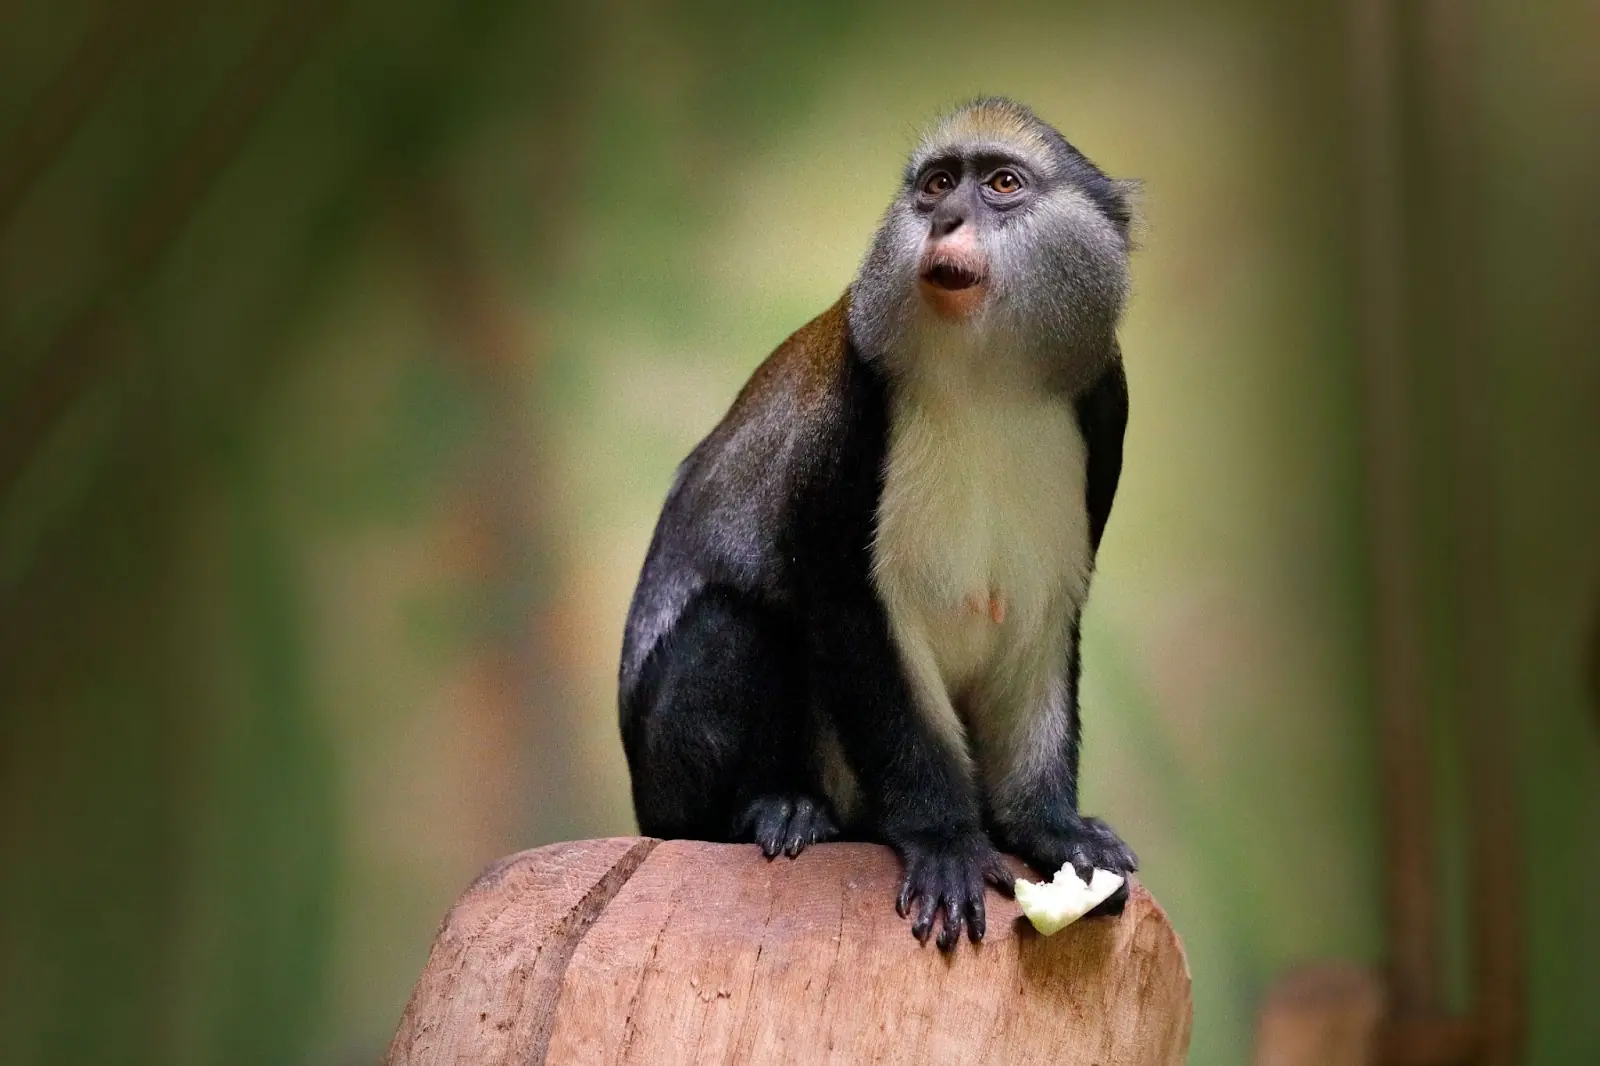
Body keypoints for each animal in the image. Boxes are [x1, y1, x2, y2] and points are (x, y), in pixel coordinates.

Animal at [620, 97, 1139, 947]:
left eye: (1001, 184)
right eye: (936, 185)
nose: (946, 219)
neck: (986, 376)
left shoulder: (1104, 401)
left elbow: (1040, 620)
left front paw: (1051, 829)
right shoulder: (853, 409)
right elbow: (853, 614)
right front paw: (945, 840)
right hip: (671, 786)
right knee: (730, 622)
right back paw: (773, 809)